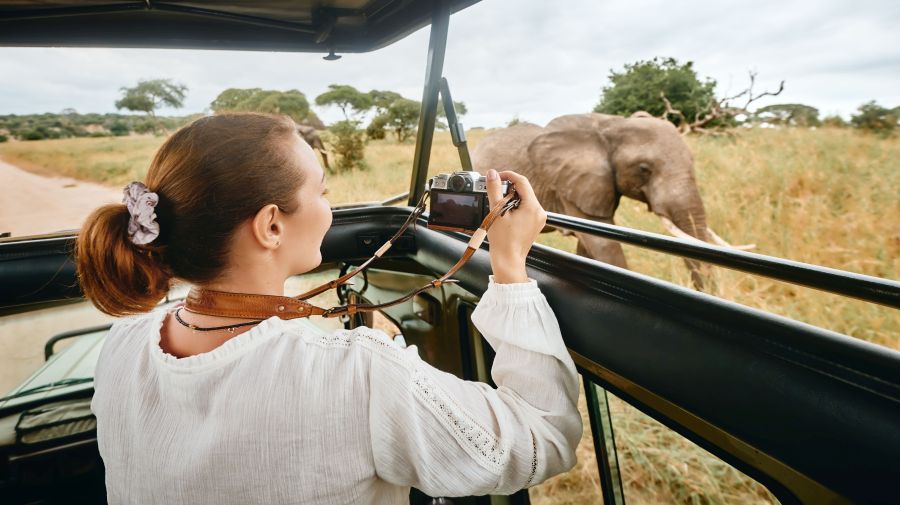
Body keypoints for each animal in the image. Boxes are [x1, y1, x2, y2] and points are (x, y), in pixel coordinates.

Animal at [472, 113, 752, 288]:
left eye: (693, 161)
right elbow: (603, 245)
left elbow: (590, 246)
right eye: (643, 169)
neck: (612, 124)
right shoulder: (571, 185)